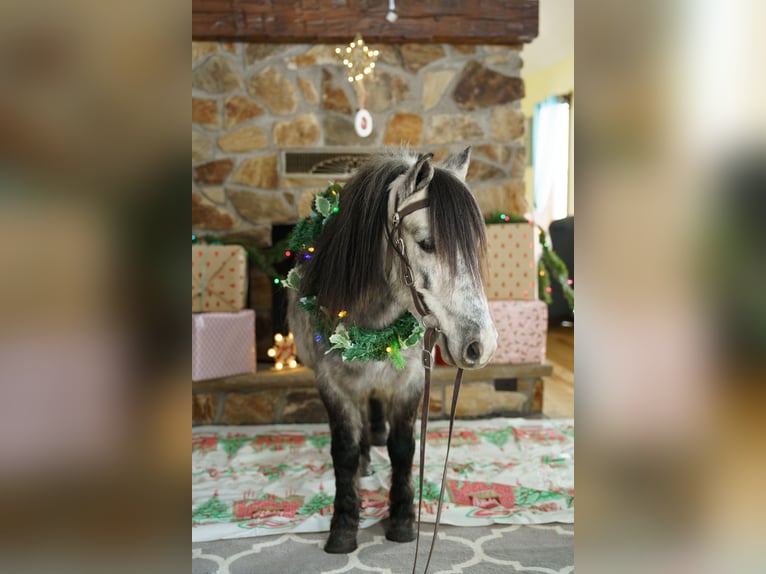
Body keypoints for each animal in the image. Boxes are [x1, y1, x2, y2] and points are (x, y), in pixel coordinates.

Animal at [287, 148, 498, 554]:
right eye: (428, 243)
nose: (481, 344)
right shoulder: (332, 386)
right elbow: (344, 451)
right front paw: (344, 524)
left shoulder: (408, 383)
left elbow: (403, 448)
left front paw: (401, 518)